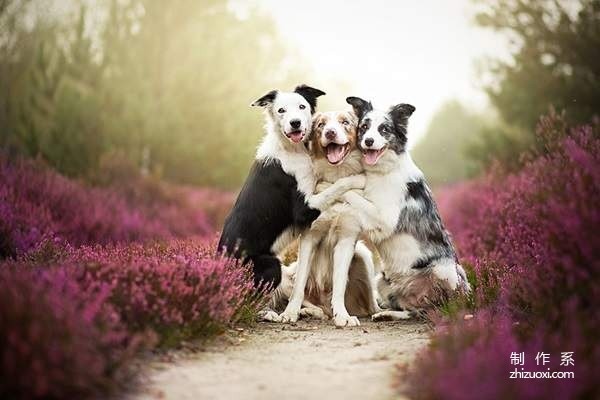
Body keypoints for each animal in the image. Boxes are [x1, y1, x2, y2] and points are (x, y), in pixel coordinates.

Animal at [218, 86, 364, 290]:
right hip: (269, 264)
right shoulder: (304, 208)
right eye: (281, 110)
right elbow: (337, 185)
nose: (295, 123)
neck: (292, 149)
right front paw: (359, 179)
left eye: (302, 106)